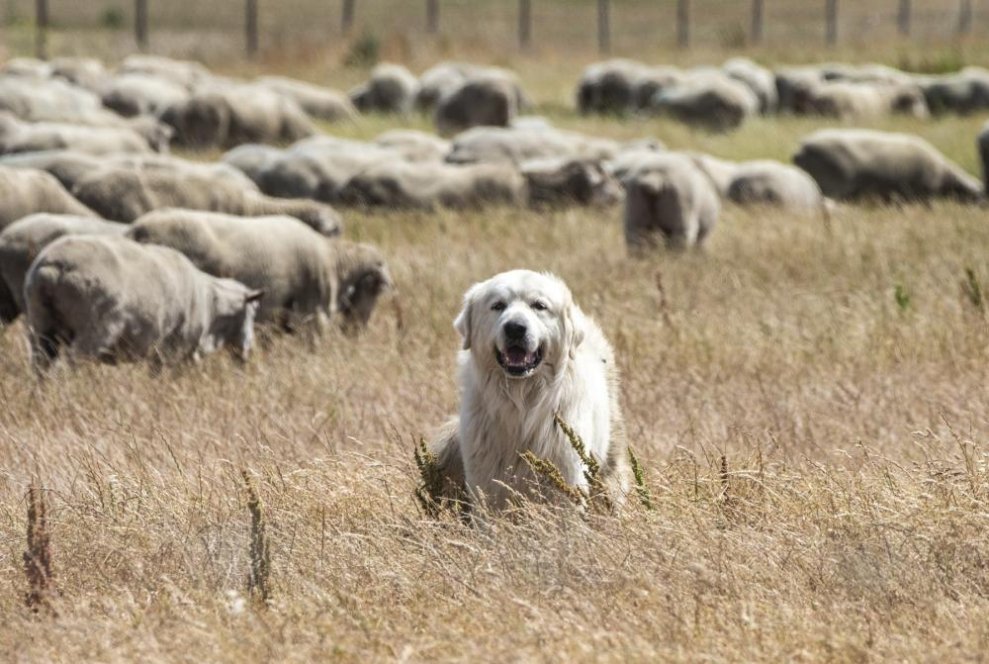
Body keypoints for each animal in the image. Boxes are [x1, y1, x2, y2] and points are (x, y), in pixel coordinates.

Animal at [24, 235, 262, 371]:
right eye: (252, 312)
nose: (248, 353)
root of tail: (52, 267)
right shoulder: (171, 351)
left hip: (40, 325)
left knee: (40, 366)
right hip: (94, 329)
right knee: (69, 366)